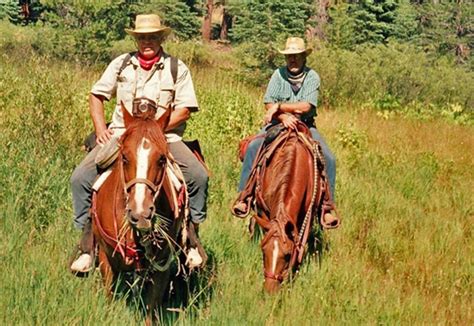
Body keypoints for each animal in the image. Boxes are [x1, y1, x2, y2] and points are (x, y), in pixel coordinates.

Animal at [90, 105, 187, 324]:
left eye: (162, 159)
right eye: (124, 157)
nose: (140, 213)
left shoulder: (161, 266)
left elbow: (151, 309)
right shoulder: (106, 259)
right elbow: (109, 296)